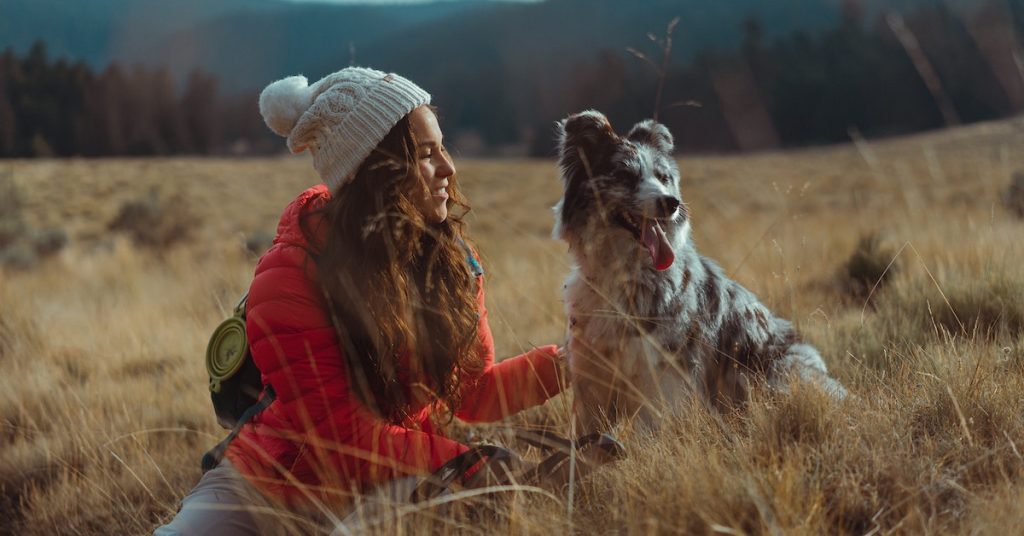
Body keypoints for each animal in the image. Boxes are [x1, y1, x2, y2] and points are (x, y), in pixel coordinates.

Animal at [557, 110, 843, 432]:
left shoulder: (660, 377)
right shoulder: (592, 375)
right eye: (626, 176)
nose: (671, 202)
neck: (625, 272)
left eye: (663, 178)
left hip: (781, 369)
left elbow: (649, 429)